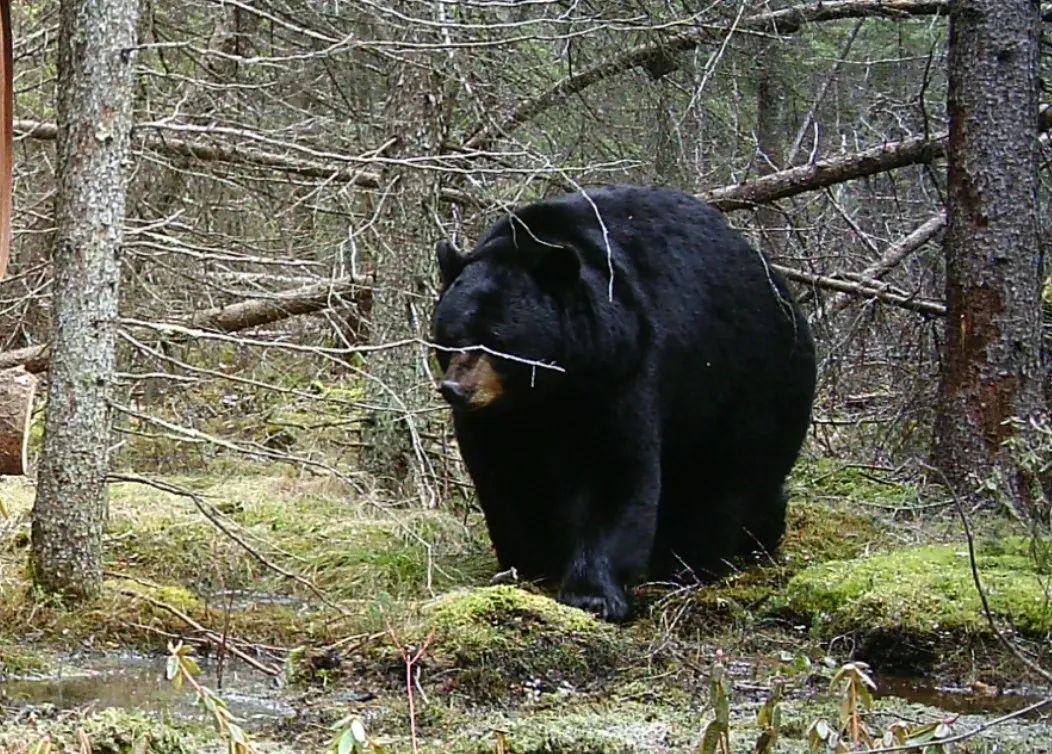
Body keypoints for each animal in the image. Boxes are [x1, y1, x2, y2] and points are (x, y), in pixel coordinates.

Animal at [431, 185, 816, 622]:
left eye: (497, 340)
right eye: (451, 335)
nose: (455, 390)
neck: (549, 389)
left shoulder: (620, 370)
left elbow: (614, 468)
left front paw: (593, 594)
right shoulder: (498, 418)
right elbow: (505, 475)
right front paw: (528, 564)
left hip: (747, 387)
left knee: (726, 481)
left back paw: (691, 562)